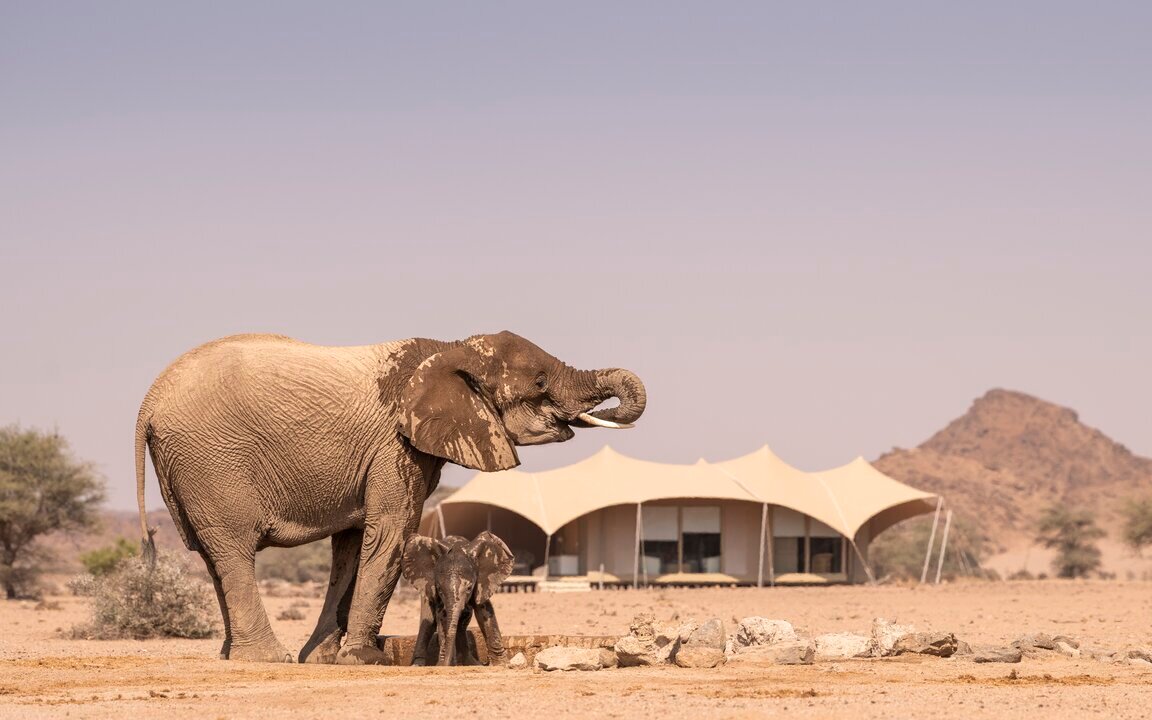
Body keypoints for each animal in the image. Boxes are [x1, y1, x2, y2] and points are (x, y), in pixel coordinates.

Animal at [403, 527, 516, 663]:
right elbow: (441, 617)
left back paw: (469, 662)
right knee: (428, 620)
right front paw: (443, 663)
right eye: (439, 589)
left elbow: (485, 612)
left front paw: (502, 664)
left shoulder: (482, 583)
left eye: (469, 588)